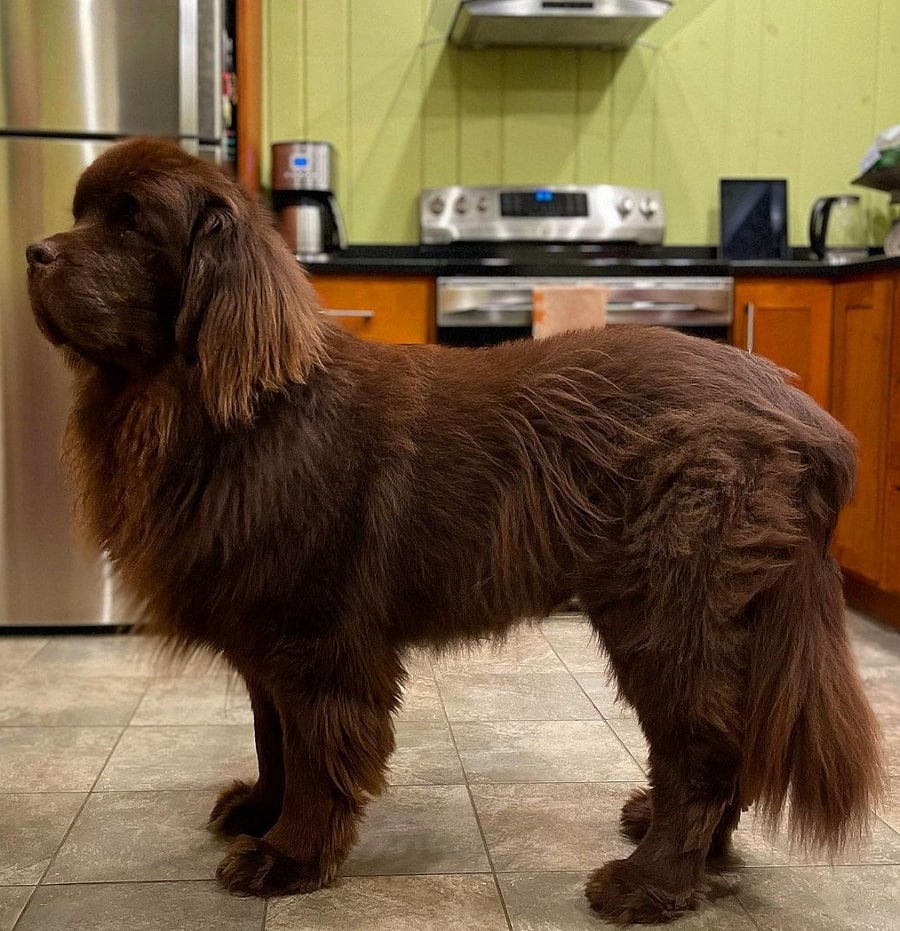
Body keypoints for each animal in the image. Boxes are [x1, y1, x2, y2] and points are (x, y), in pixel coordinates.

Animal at [26, 138, 880, 924]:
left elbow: (313, 756)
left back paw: (650, 881)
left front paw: (287, 856)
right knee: (727, 744)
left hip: (671, 614)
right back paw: (690, 847)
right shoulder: (262, 632)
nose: (33, 252)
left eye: (131, 222)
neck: (218, 408)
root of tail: (810, 417)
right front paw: (259, 811)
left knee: (700, 754)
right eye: (78, 212)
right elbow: (272, 737)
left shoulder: (315, 641)